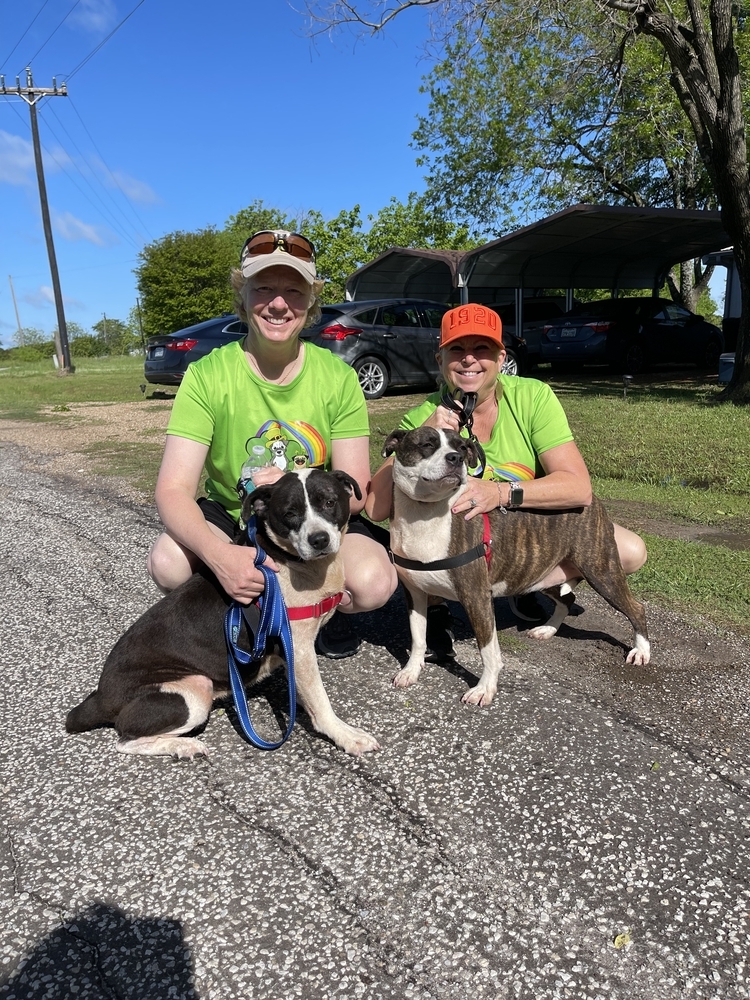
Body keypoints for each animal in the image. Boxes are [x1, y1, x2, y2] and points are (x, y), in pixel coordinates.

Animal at [66, 468, 382, 756]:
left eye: (329, 502)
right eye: (290, 513)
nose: (319, 540)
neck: (288, 560)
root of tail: (101, 699)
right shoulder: (298, 649)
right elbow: (320, 700)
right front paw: (346, 736)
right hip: (193, 688)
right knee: (126, 740)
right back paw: (184, 746)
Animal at [384, 426, 648, 708]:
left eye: (462, 447)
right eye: (427, 444)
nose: (455, 458)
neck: (426, 511)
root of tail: (594, 501)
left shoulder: (476, 597)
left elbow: (489, 651)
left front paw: (484, 689)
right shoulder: (414, 594)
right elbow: (418, 638)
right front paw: (411, 671)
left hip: (601, 571)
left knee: (635, 608)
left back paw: (641, 651)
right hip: (542, 572)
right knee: (568, 598)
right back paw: (547, 630)